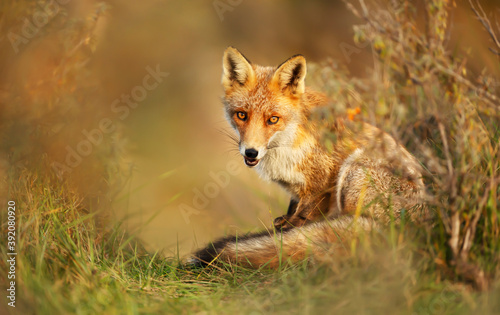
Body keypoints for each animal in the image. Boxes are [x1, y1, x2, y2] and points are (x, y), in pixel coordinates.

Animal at [188, 48, 426, 270]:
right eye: (241, 115)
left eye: (273, 119)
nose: (251, 152)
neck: (288, 144)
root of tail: (417, 225)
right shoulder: (298, 191)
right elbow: (293, 212)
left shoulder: (322, 182)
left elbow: (303, 218)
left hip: (355, 168)